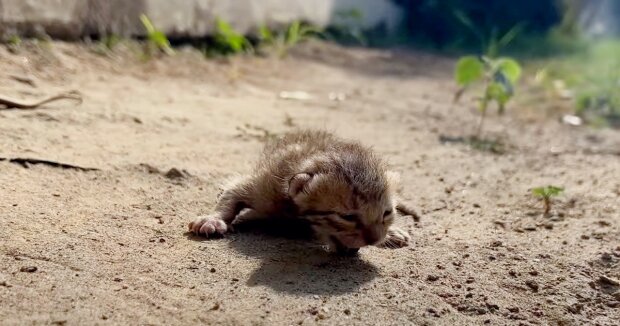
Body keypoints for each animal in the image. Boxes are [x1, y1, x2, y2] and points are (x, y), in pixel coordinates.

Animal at [189, 129, 418, 253]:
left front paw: (391, 232)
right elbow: (231, 193)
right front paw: (213, 218)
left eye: (387, 213)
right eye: (347, 216)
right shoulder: (263, 187)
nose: (374, 239)